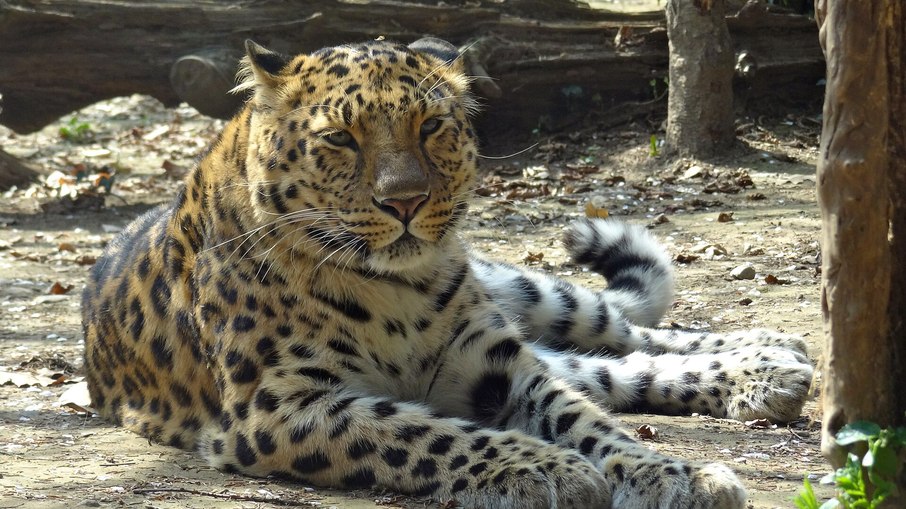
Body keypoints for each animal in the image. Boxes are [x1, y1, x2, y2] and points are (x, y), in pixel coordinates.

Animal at [82, 37, 814, 508]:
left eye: (432, 125)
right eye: (341, 138)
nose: (405, 201)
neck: (390, 290)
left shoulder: (499, 362)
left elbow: (586, 421)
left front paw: (669, 472)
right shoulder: (280, 406)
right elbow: (421, 431)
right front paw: (548, 468)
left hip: (527, 291)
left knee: (628, 334)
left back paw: (774, 354)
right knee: (617, 369)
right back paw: (771, 372)